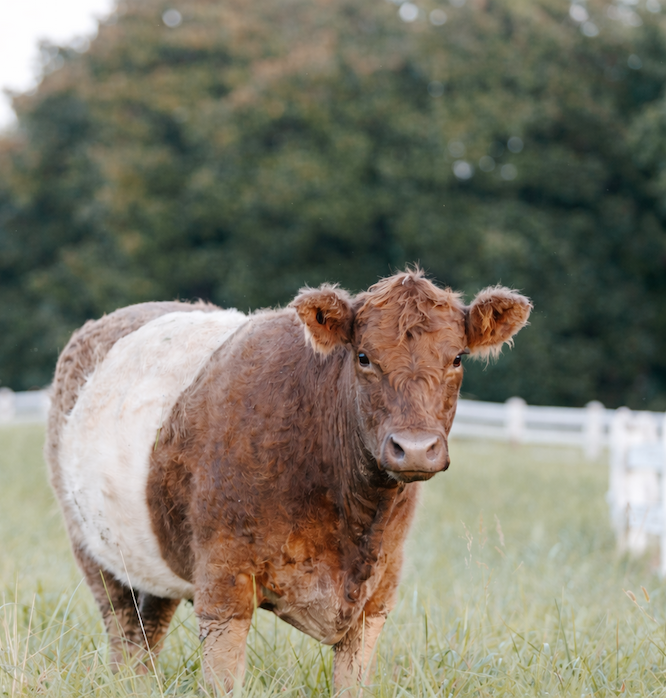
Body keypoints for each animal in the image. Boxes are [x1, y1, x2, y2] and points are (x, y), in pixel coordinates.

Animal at [45, 269, 531, 693]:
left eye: (457, 358)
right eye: (363, 356)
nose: (414, 447)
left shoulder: (379, 593)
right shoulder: (223, 586)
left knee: (148, 630)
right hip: (93, 550)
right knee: (124, 631)